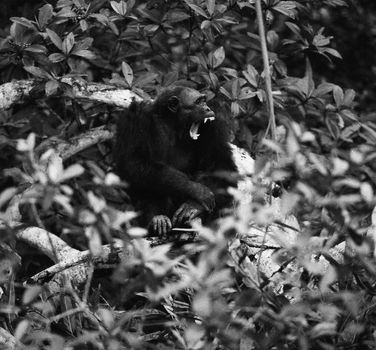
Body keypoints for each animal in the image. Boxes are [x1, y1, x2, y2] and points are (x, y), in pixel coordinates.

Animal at [114, 86, 238, 237]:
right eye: (198, 102)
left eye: (204, 100)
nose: (207, 108)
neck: (173, 124)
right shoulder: (135, 118)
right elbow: (133, 162)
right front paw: (197, 191)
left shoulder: (214, 128)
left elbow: (222, 167)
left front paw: (193, 206)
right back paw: (157, 219)